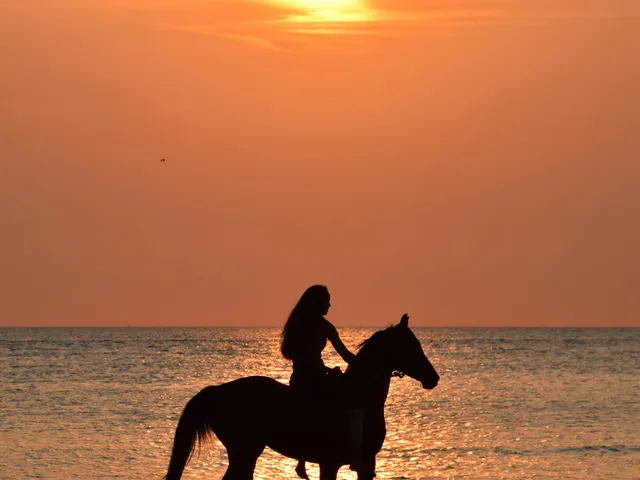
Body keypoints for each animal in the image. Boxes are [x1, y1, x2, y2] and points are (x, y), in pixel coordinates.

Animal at [163, 315, 439, 480]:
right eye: (412, 346)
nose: (433, 378)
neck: (360, 395)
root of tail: (218, 390)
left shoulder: (363, 464)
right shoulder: (333, 463)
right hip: (244, 453)